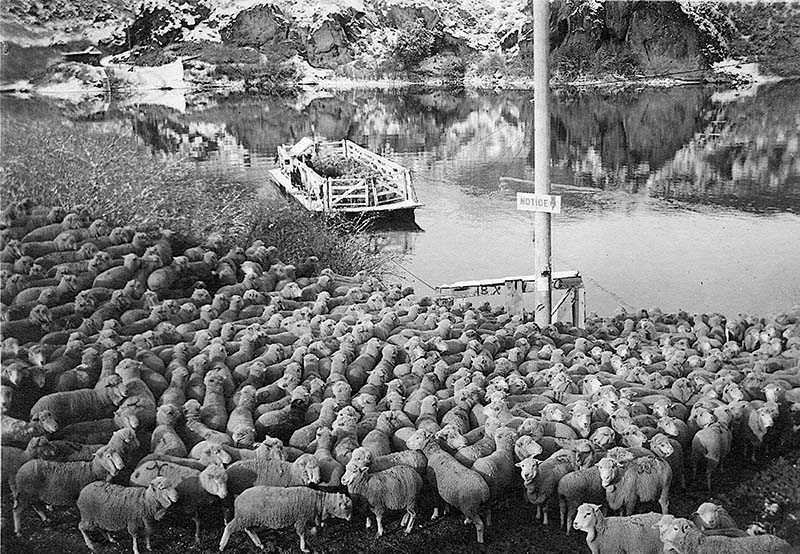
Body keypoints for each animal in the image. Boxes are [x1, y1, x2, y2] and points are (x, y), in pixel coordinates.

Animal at [220, 484, 354, 548]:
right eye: (346, 507)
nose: (350, 518)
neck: (320, 502)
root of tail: (238, 498)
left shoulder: (307, 518)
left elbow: (314, 527)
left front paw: (315, 530)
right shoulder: (301, 518)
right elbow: (301, 533)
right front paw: (304, 547)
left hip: (251, 518)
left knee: (249, 530)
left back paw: (259, 544)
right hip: (244, 517)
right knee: (230, 527)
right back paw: (222, 545)